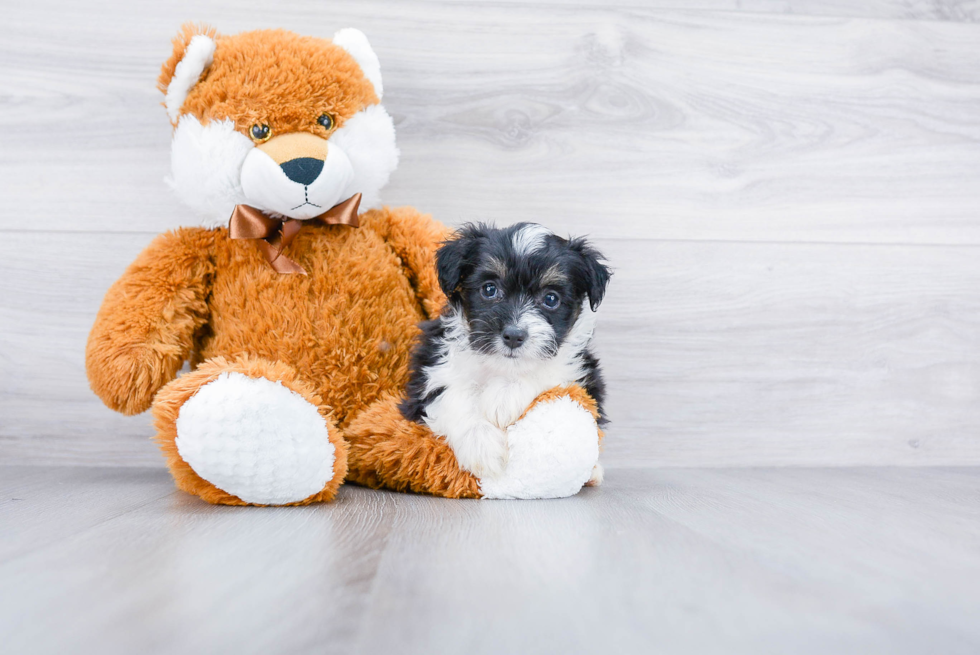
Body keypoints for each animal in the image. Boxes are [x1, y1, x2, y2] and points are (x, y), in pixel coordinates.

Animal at [402, 224, 608, 482]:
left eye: (551, 299)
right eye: (489, 289)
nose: (514, 335)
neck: (502, 366)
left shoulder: (581, 371)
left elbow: (547, 369)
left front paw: (505, 395)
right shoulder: (432, 371)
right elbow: (452, 397)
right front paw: (482, 447)